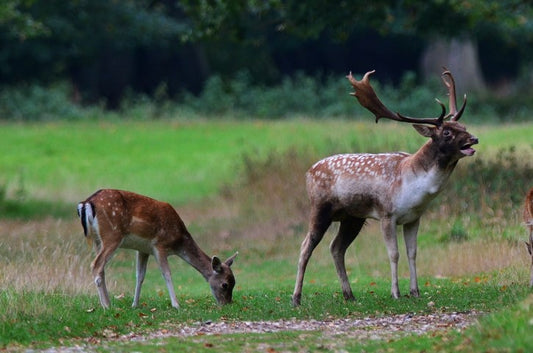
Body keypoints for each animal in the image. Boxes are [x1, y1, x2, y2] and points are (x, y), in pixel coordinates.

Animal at [76, 188, 237, 306]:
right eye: (225, 284)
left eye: (234, 283)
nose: (227, 304)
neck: (178, 241)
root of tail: (86, 203)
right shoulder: (160, 245)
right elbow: (167, 273)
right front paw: (176, 304)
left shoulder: (143, 249)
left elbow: (140, 276)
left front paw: (135, 305)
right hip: (112, 235)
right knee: (96, 264)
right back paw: (106, 306)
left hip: (98, 240)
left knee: (101, 268)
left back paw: (107, 303)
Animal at [290, 69, 478, 306]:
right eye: (447, 132)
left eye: (463, 126)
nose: (474, 139)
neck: (413, 186)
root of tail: (307, 173)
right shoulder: (387, 214)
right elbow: (394, 254)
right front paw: (395, 293)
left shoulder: (414, 218)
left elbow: (412, 252)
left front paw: (415, 291)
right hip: (320, 207)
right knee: (305, 246)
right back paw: (296, 298)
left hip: (352, 218)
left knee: (336, 247)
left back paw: (349, 294)